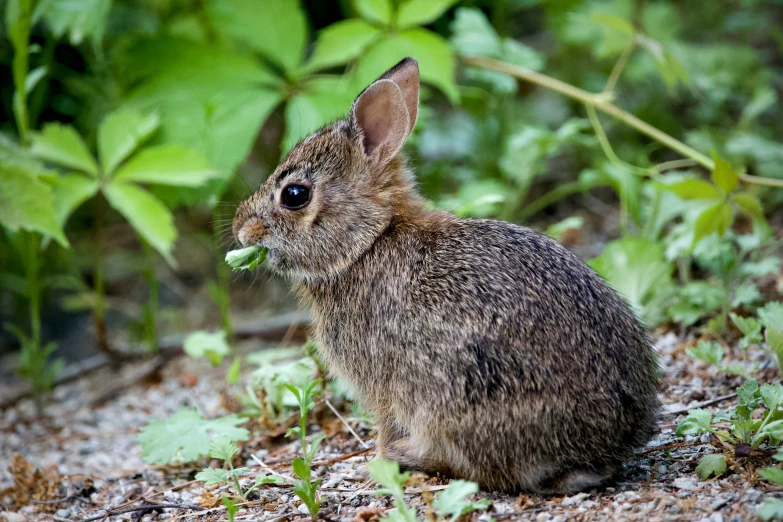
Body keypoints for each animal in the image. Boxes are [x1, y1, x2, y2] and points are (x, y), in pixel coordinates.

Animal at [234, 59, 660, 494]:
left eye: (295, 195)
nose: (240, 230)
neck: (368, 241)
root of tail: (600, 450)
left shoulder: (384, 384)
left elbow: (384, 425)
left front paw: (379, 463)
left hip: (457, 392)